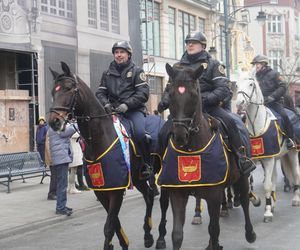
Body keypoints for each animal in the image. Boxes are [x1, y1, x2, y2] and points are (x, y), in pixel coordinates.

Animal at [47, 61, 162, 249]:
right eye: (53, 92)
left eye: (69, 89)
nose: (54, 122)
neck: (100, 137)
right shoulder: (102, 189)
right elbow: (113, 222)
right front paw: (122, 243)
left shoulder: (116, 189)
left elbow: (109, 226)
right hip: (138, 178)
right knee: (149, 195)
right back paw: (147, 235)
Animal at [156, 64, 256, 250]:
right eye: (170, 93)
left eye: (195, 95)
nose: (180, 135)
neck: (191, 148)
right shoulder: (177, 193)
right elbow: (177, 234)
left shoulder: (214, 194)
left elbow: (214, 229)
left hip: (243, 177)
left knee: (246, 200)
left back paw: (250, 233)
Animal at [236, 73, 300, 223]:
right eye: (236, 84)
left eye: (251, 84)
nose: (239, 103)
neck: (256, 126)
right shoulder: (254, 160)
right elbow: (250, 185)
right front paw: (257, 201)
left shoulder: (268, 159)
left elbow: (267, 185)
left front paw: (267, 213)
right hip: (275, 157)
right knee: (274, 178)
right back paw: (273, 203)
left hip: (293, 153)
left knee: (296, 174)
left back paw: (295, 199)